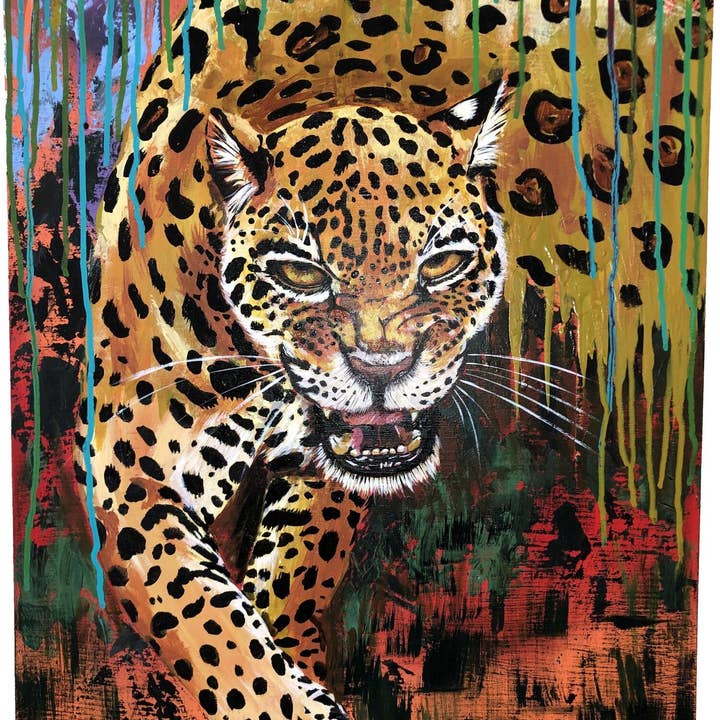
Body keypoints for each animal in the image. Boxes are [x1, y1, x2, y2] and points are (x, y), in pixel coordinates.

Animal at [77, 0, 708, 718]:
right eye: (299, 272)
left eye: (443, 263)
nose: (382, 369)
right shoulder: (127, 465)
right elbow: (215, 631)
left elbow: (292, 573)